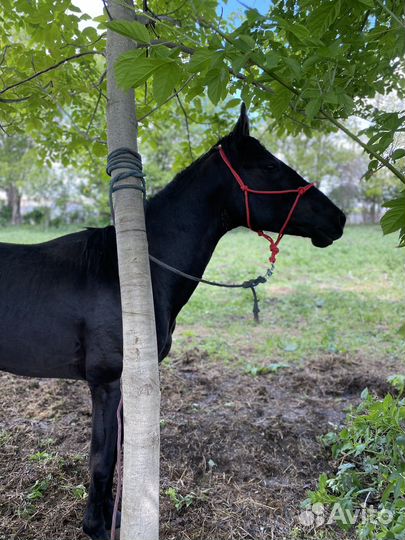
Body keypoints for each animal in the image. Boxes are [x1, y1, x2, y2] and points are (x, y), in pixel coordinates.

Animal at [0, 106, 344, 540]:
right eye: (268, 166)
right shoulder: (108, 382)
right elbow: (102, 460)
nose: (338, 218)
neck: (132, 272)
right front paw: (96, 526)